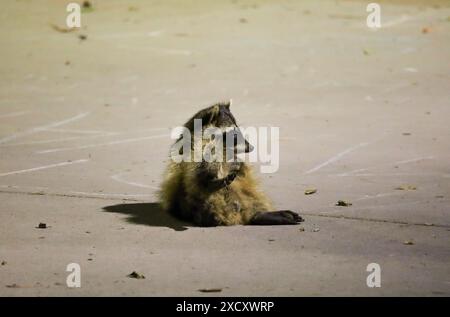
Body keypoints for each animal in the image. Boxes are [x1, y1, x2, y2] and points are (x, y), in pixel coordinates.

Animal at [158, 100, 302, 226]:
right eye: (234, 135)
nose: (251, 148)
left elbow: (240, 166)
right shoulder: (191, 150)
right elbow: (198, 165)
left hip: (246, 192)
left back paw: (259, 214)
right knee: (196, 180)